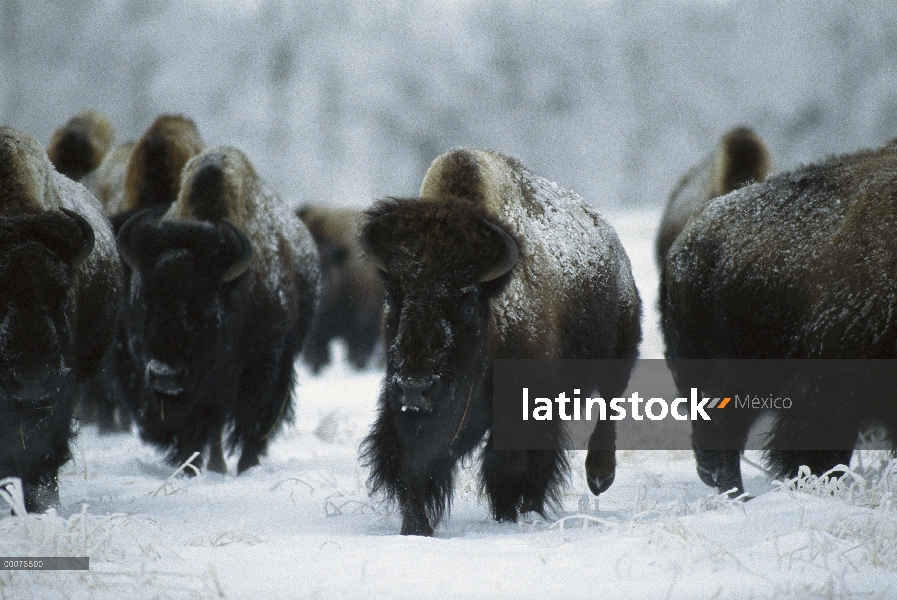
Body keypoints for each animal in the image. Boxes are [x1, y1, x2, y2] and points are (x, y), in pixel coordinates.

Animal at [114, 145, 318, 474]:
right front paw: (189, 469)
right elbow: (194, 425)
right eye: (144, 301)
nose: (166, 375)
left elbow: (251, 419)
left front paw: (247, 467)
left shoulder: (264, 367)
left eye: (208, 305)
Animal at [356, 148, 636, 536]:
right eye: (393, 296)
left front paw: (511, 514)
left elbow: (510, 464)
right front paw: (415, 529)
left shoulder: (523, 405)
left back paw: (597, 478)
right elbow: (413, 464)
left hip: (619, 354)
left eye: (466, 301)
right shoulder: (405, 413)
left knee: (608, 406)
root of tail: (615, 250)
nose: (415, 387)